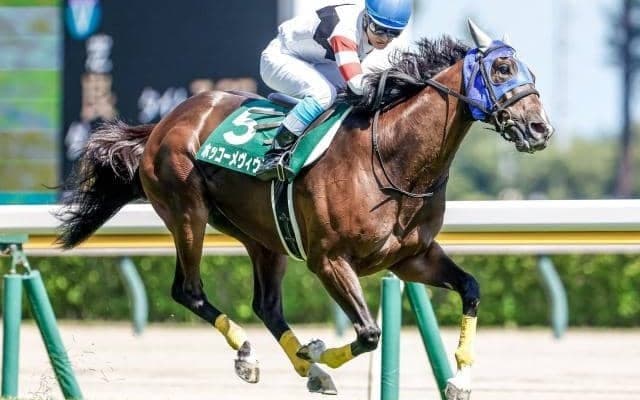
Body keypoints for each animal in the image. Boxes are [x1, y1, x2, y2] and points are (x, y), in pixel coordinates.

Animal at [56, 20, 553, 398]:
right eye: (502, 67)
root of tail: (164, 122)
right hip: (186, 212)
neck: (392, 158)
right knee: (189, 291)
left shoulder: (412, 257)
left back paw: (305, 368)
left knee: (266, 304)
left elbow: (471, 288)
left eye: (528, 69)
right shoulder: (329, 260)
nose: (539, 128)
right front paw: (317, 351)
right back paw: (253, 355)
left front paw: (460, 379)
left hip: (263, 236)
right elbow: (369, 333)